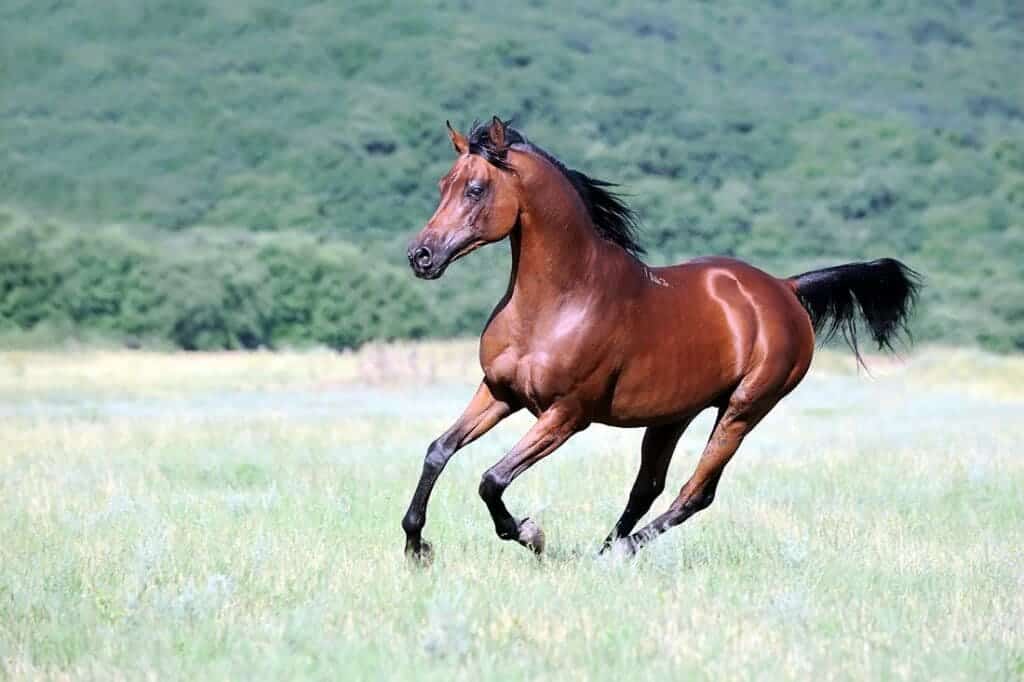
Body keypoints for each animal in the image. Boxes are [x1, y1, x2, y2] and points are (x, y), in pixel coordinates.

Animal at [399, 116, 921, 561]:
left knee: (696, 492)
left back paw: (620, 552)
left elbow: (492, 478)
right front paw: (416, 546)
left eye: (475, 188)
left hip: (744, 408)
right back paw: (605, 551)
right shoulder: (499, 392)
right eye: (443, 185)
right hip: (674, 414)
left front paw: (531, 534)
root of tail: (784, 288)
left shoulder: (566, 416)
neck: (560, 301)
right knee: (647, 487)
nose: (421, 256)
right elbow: (438, 451)